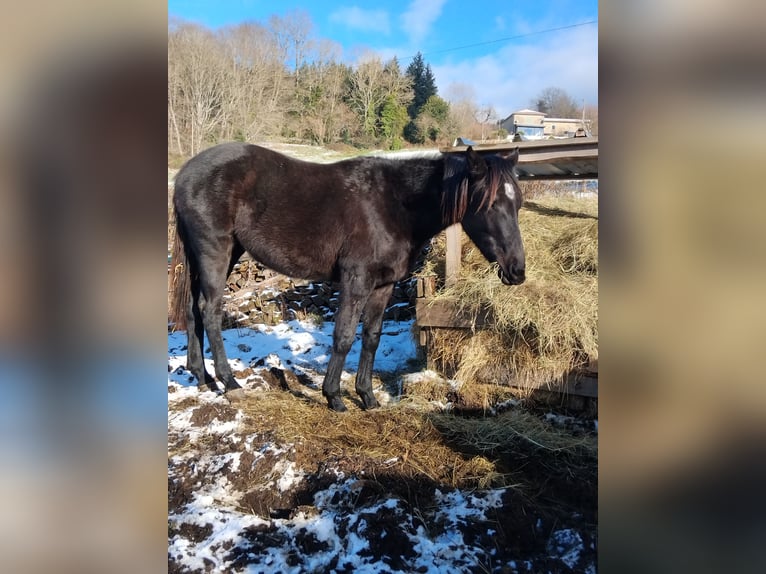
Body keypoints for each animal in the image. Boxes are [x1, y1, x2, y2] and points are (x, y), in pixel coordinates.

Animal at [170, 143, 526, 412]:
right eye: (490, 203)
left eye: (518, 203)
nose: (517, 270)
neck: (394, 205)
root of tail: (185, 174)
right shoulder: (357, 280)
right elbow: (343, 336)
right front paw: (334, 397)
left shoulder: (383, 285)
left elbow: (371, 337)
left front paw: (367, 397)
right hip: (215, 252)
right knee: (210, 311)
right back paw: (229, 382)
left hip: (214, 256)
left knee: (192, 310)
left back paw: (202, 377)